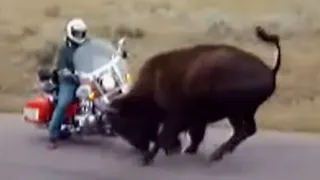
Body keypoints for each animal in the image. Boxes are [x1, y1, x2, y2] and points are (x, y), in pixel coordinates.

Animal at [105, 25, 282, 166]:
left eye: (127, 123)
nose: (140, 146)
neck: (154, 82)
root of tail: (270, 71)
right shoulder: (195, 118)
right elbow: (194, 134)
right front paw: (186, 150)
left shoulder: (176, 116)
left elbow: (165, 135)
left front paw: (148, 158)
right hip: (246, 112)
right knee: (249, 130)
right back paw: (218, 154)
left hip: (234, 112)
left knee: (240, 131)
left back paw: (215, 155)